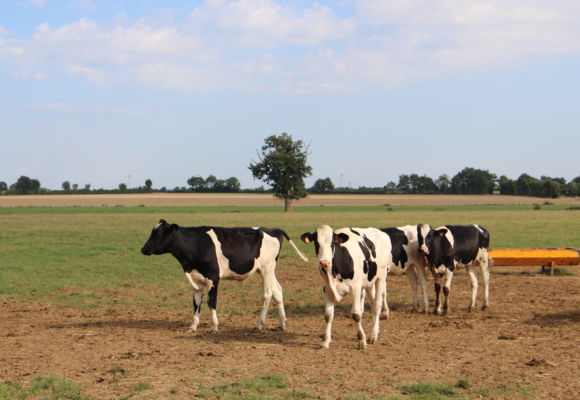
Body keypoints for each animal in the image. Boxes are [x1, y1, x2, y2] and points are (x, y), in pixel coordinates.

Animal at [140, 219, 308, 332]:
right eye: (152, 232)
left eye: (159, 233)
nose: (143, 249)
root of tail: (274, 230)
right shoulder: (196, 278)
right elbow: (196, 302)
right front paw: (193, 326)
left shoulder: (213, 276)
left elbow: (211, 301)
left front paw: (214, 326)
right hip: (266, 270)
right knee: (277, 291)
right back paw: (282, 323)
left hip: (267, 268)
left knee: (267, 294)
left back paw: (259, 325)